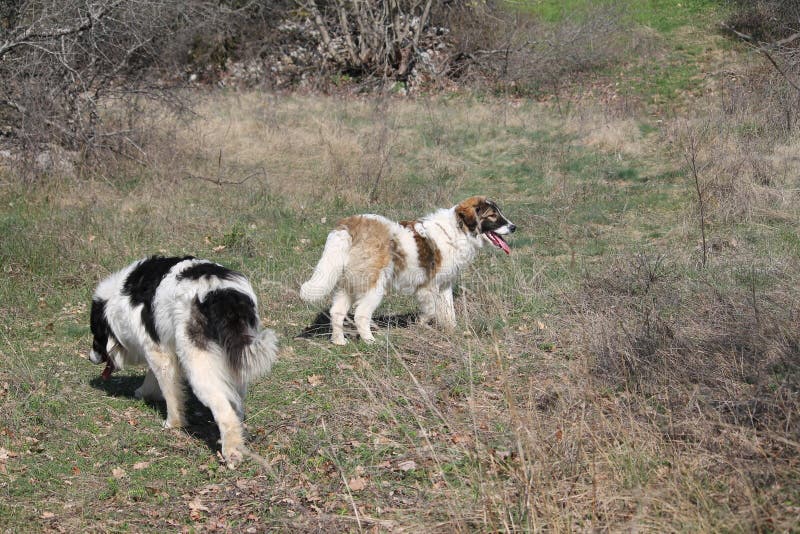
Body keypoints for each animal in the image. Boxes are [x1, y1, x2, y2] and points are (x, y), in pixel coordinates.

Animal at [89, 256, 278, 468]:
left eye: (95, 334)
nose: (90, 357)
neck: (117, 303)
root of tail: (221, 294)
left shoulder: (157, 352)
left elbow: (170, 392)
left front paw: (172, 423)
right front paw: (145, 392)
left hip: (198, 366)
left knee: (224, 411)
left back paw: (231, 453)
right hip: (235, 361)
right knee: (235, 401)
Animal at [302, 195, 520, 346]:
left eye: (499, 213)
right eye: (492, 216)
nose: (513, 227)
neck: (457, 230)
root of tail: (351, 224)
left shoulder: (444, 285)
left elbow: (449, 312)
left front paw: (453, 332)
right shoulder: (428, 287)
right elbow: (431, 310)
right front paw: (421, 324)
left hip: (348, 285)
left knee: (337, 312)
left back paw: (339, 341)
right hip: (374, 286)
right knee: (361, 314)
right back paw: (370, 341)